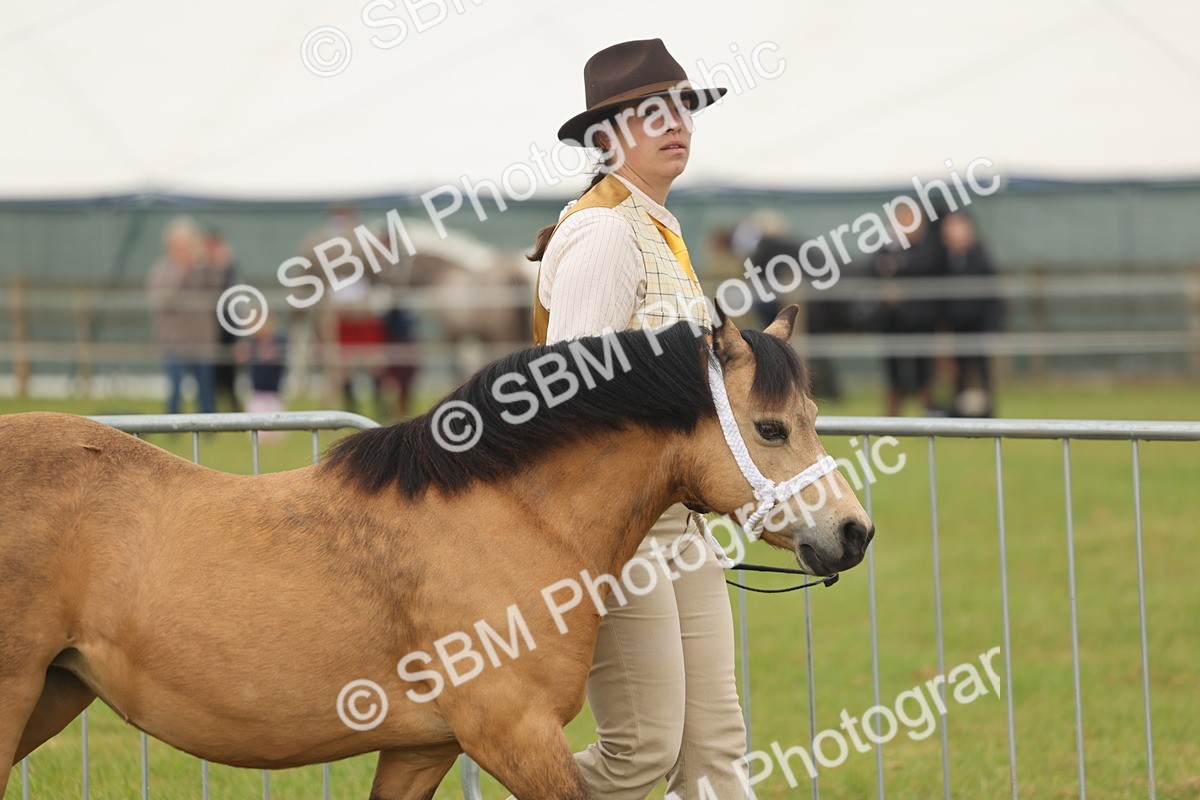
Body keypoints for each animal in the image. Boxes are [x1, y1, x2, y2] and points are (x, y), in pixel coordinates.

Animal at [0, 306, 874, 799]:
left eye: (813, 416)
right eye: (771, 428)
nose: (853, 532)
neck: (510, 515)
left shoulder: (422, 748)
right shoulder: (513, 736)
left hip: (55, 692)